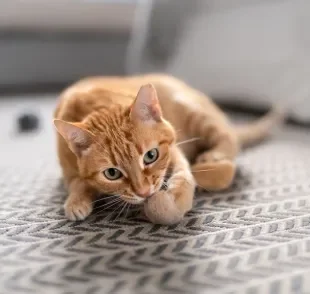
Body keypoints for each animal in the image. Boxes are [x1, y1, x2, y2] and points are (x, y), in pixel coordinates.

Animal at [54, 74, 284, 225]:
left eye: (151, 156)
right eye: (112, 173)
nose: (144, 192)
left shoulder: (175, 153)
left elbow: (183, 181)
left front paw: (163, 205)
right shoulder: (69, 172)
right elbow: (78, 184)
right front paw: (76, 202)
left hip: (195, 113)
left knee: (229, 144)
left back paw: (212, 159)